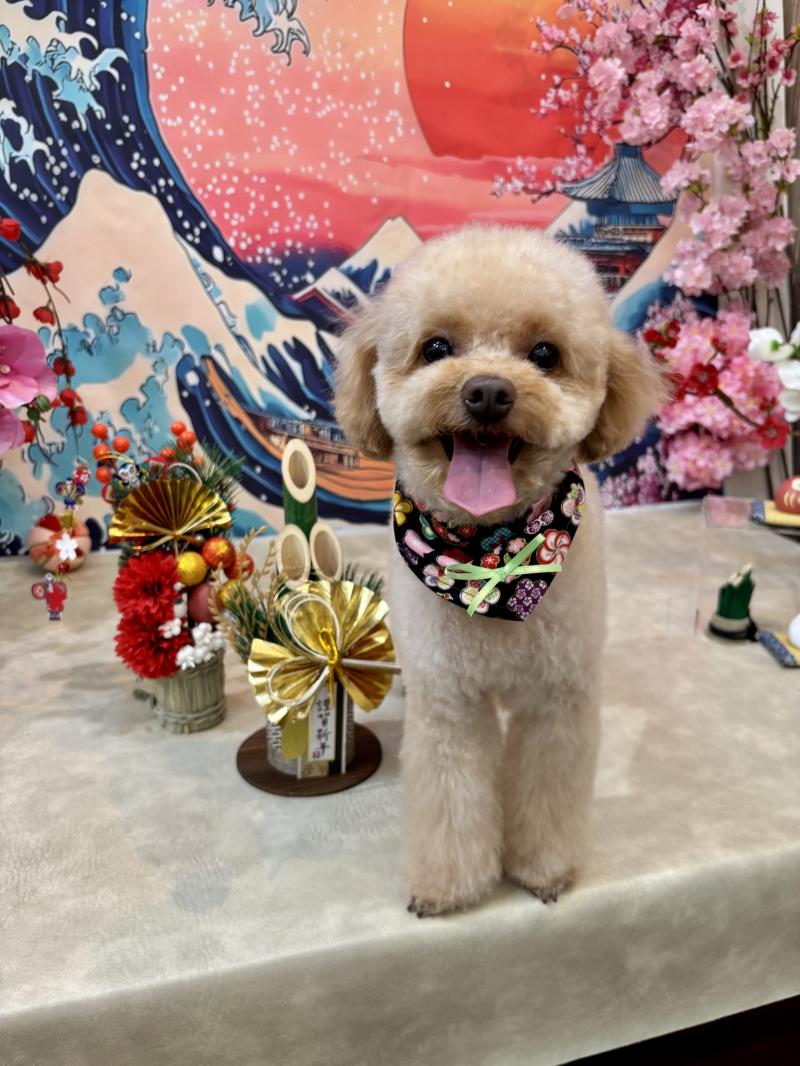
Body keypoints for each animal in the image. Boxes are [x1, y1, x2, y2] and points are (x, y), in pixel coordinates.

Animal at [335, 225, 662, 916]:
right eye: (436, 347)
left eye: (545, 353)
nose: (487, 391)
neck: (490, 559)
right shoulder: (450, 701)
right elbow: (452, 797)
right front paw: (449, 888)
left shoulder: (559, 697)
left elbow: (547, 787)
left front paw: (543, 870)